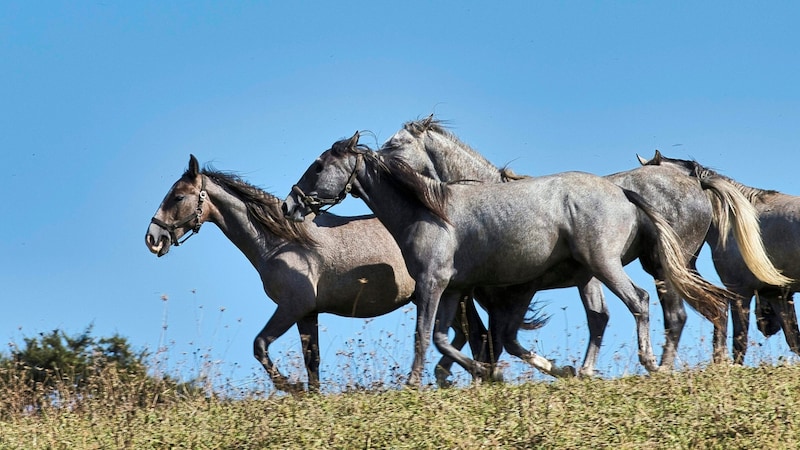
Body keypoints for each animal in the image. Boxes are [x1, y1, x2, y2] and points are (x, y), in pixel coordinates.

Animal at [147, 154, 490, 390]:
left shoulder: (292, 307)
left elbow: (260, 345)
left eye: (178, 197)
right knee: (470, 335)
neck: (284, 242)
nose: (153, 238)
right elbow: (312, 360)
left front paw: (291, 388)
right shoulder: (307, 313)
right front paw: (311, 395)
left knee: (471, 335)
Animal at [282, 132, 732, 384]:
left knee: (643, 303)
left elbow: (427, 337)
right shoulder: (457, 290)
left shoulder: (434, 285)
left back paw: (653, 364)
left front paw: (415, 382)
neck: (430, 212)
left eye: (318, 165)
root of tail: (623, 192)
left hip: (608, 265)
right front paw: (487, 373)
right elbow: (452, 340)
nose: (290, 205)